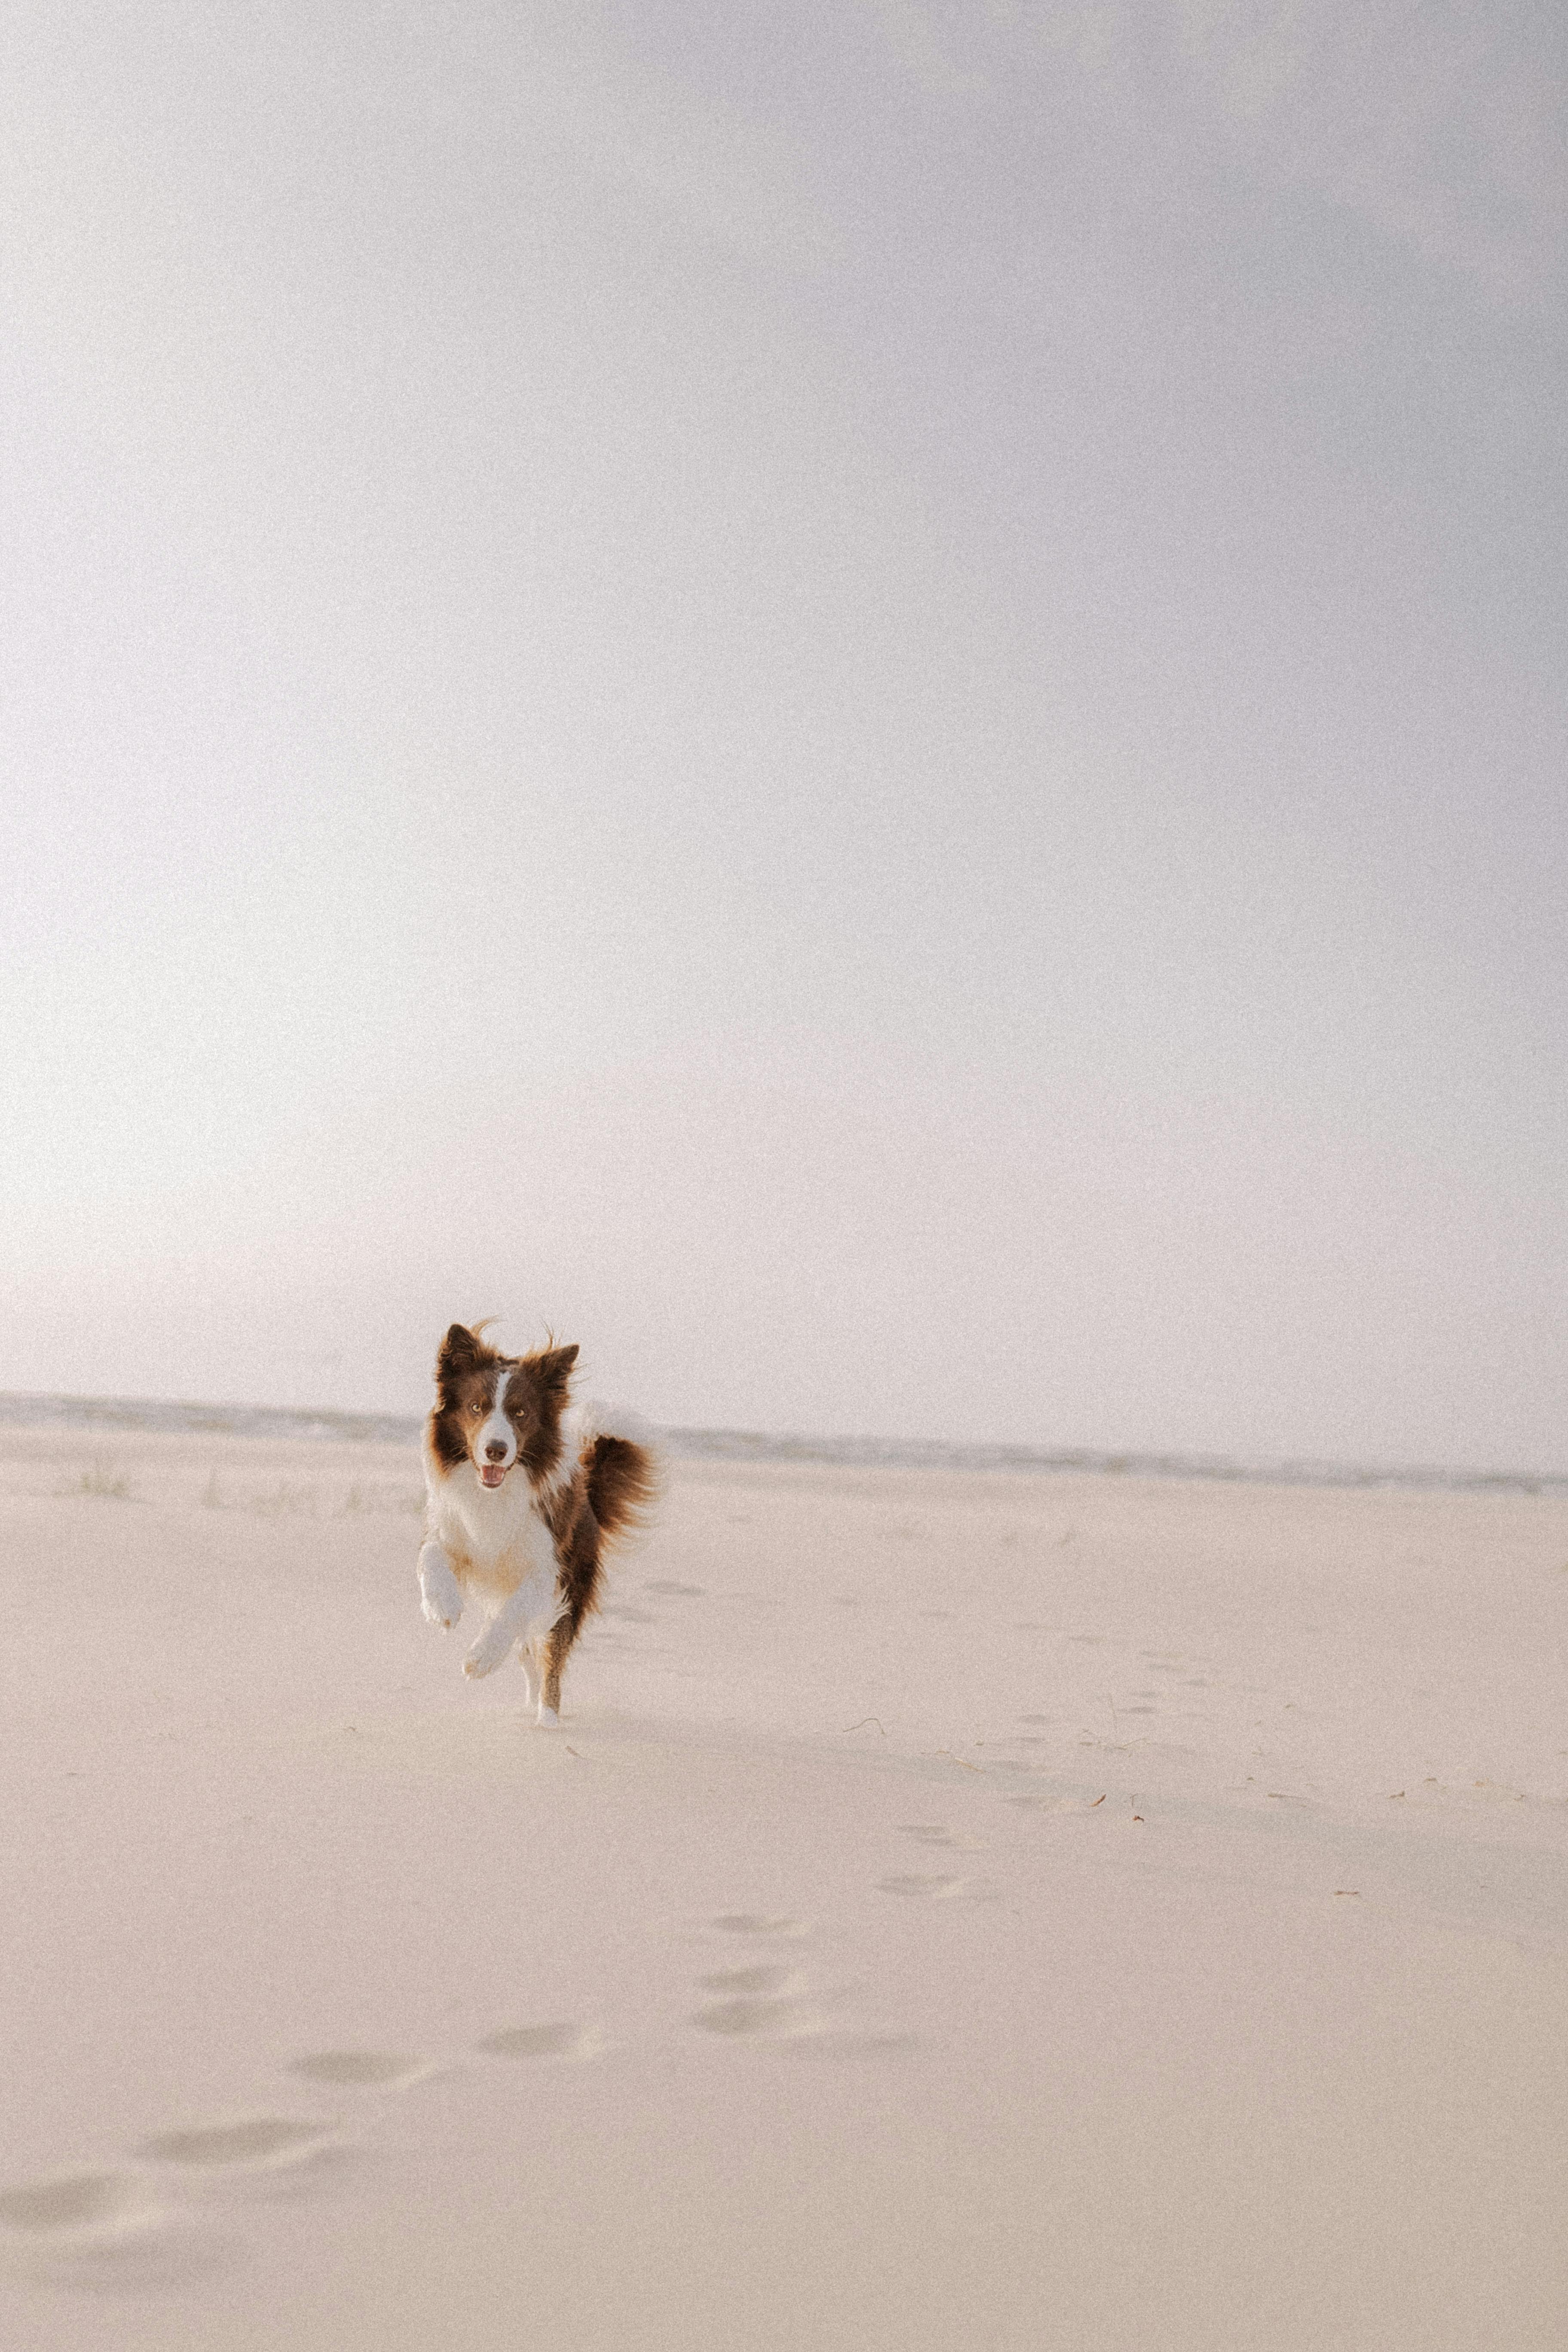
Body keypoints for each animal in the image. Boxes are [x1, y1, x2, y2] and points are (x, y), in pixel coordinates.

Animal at [416, 1326, 658, 1731]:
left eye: (520, 1412)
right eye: (477, 1407)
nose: (496, 1450)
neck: (495, 1494)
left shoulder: (549, 1568)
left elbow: (515, 1613)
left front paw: (481, 1659)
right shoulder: (449, 1528)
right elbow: (430, 1555)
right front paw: (442, 1607)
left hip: (571, 1589)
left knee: (549, 1660)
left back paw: (547, 1720)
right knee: (529, 1655)